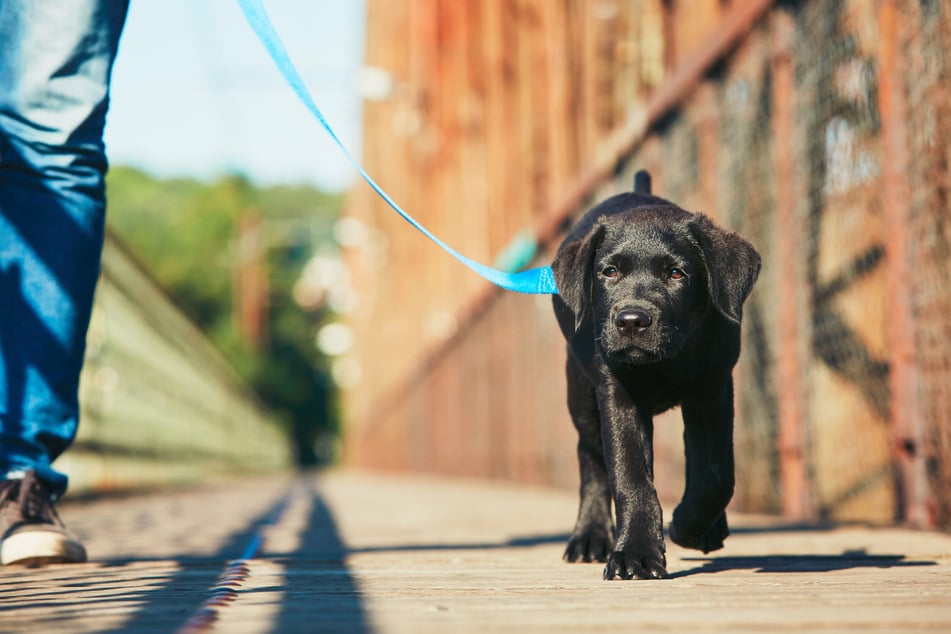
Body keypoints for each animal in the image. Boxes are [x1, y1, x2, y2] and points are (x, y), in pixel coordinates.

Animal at [552, 169, 760, 576]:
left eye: (677, 273)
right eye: (609, 271)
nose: (631, 321)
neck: (667, 360)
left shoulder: (713, 388)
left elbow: (717, 473)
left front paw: (687, 525)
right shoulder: (618, 394)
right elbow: (630, 475)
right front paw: (635, 553)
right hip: (580, 393)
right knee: (590, 455)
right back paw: (589, 536)